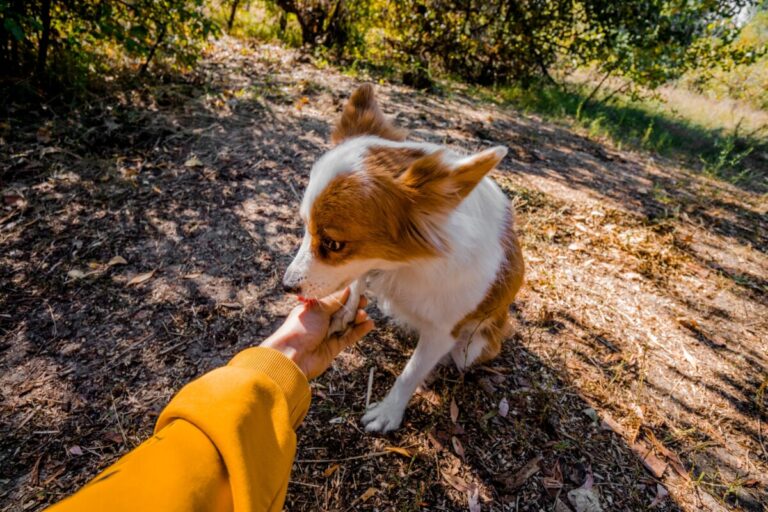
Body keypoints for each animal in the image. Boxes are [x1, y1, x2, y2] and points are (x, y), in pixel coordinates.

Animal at [284, 84, 524, 432]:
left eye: (333, 243)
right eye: (304, 227)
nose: (287, 285)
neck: (404, 265)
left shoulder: (441, 332)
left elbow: (410, 373)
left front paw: (388, 412)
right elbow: (357, 281)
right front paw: (346, 311)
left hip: (474, 347)